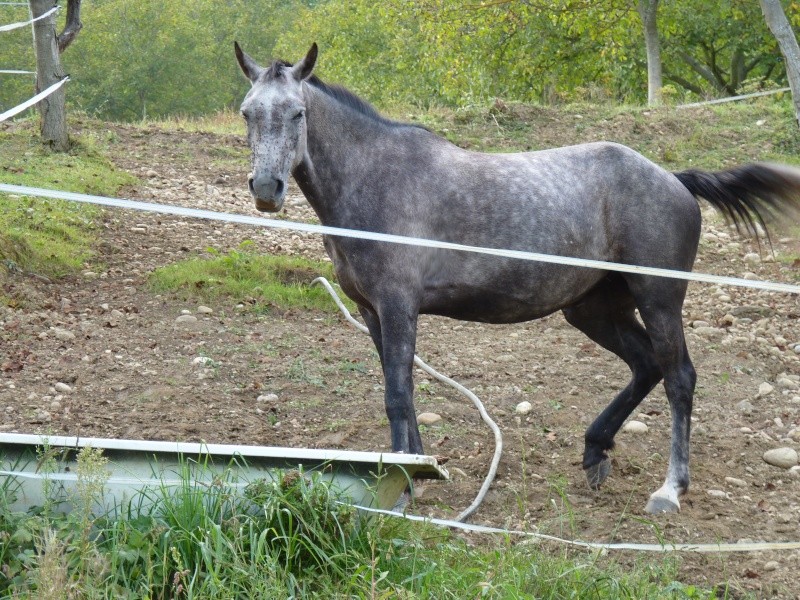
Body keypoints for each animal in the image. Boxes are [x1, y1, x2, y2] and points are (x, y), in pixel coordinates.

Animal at [236, 42, 800, 512]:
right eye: (247, 113)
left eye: (297, 112)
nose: (266, 188)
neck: (375, 177)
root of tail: (673, 179)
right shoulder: (372, 311)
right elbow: (402, 393)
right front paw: (415, 468)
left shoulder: (398, 306)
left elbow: (397, 394)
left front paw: (407, 482)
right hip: (593, 308)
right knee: (645, 366)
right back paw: (595, 452)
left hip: (658, 299)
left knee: (678, 376)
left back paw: (670, 489)